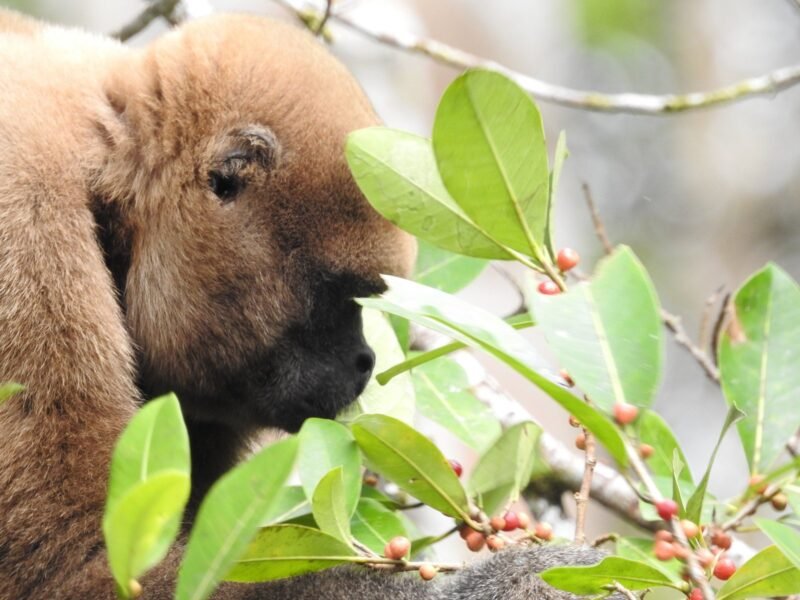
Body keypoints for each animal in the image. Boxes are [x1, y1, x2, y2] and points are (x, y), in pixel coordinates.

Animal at [0, 9, 618, 599]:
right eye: (340, 294)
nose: (364, 360)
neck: (108, 160)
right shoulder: (26, 228)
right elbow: (74, 566)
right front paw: (530, 581)